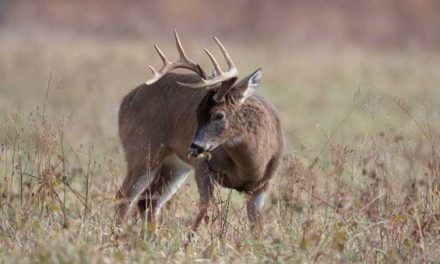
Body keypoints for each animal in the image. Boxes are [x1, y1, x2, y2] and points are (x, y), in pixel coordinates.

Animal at [115, 31, 286, 232]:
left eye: (219, 115)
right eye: (197, 112)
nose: (194, 147)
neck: (250, 166)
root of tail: (127, 99)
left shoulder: (262, 186)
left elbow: (256, 227)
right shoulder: (202, 166)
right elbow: (205, 211)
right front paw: (193, 238)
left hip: (175, 165)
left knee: (149, 200)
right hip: (143, 151)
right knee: (124, 196)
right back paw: (118, 234)